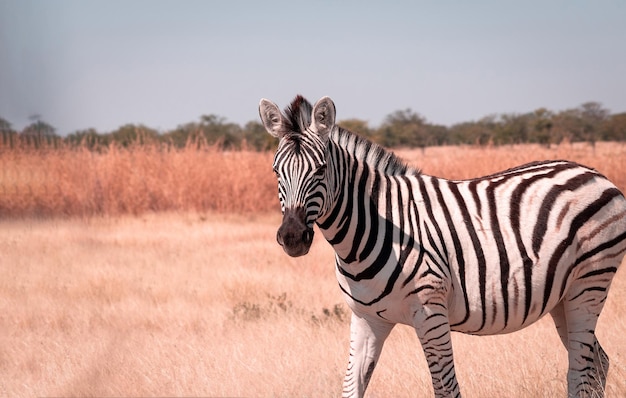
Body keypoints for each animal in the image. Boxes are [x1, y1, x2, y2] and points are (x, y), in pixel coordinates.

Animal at [256, 95, 620, 396]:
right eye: (275, 171)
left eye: (320, 170)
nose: (292, 237)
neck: (370, 231)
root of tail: (593, 172)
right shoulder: (366, 317)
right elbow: (351, 387)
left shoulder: (430, 311)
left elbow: (446, 389)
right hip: (562, 295)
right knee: (597, 361)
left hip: (590, 283)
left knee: (581, 370)